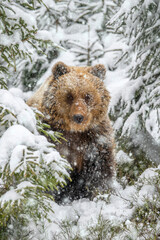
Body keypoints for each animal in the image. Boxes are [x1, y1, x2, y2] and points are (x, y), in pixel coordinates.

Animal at [27, 61, 115, 202]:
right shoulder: (50, 134)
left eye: (87, 96)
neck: (74, 131)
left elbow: (101, 169)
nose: (78, 117)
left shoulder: (96, 139)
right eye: (69, 95)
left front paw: (102, 194)